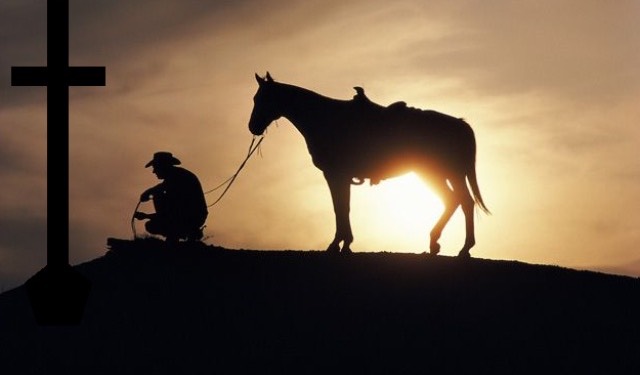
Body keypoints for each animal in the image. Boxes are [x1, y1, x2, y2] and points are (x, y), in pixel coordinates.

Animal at [250, 72, 490, 258]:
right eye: (256, 98)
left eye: (262, 98)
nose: (253, 127)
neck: (325, 118)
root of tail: (460, 125)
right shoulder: (339, 176)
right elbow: (342, 207)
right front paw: (344, 243)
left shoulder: (335, 175)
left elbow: (340, 207)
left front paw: (338, 244)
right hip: (442, 174)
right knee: (459, 201)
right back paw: (443, 244)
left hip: (439, 173)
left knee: (460, 201)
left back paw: (459, 247)